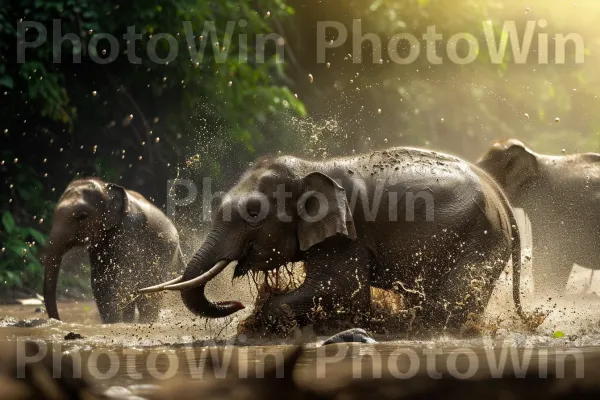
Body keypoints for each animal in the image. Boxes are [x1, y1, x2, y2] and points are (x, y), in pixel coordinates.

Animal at [42, 178, 184, 322]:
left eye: (82, 216)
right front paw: (112, 323)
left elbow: (120, 279)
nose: (58, 320)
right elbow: (100, 281)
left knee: (149, 294)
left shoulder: (130, 229)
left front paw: (114, 323)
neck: (106, 189)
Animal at [143, 148, 528, 332]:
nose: (235, 303)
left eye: (253, 212)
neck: (311, 167)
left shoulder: (347, 234)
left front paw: (259, 321)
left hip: (480, 239)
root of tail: (501, 197)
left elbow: (340, 287)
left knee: (452, 301)